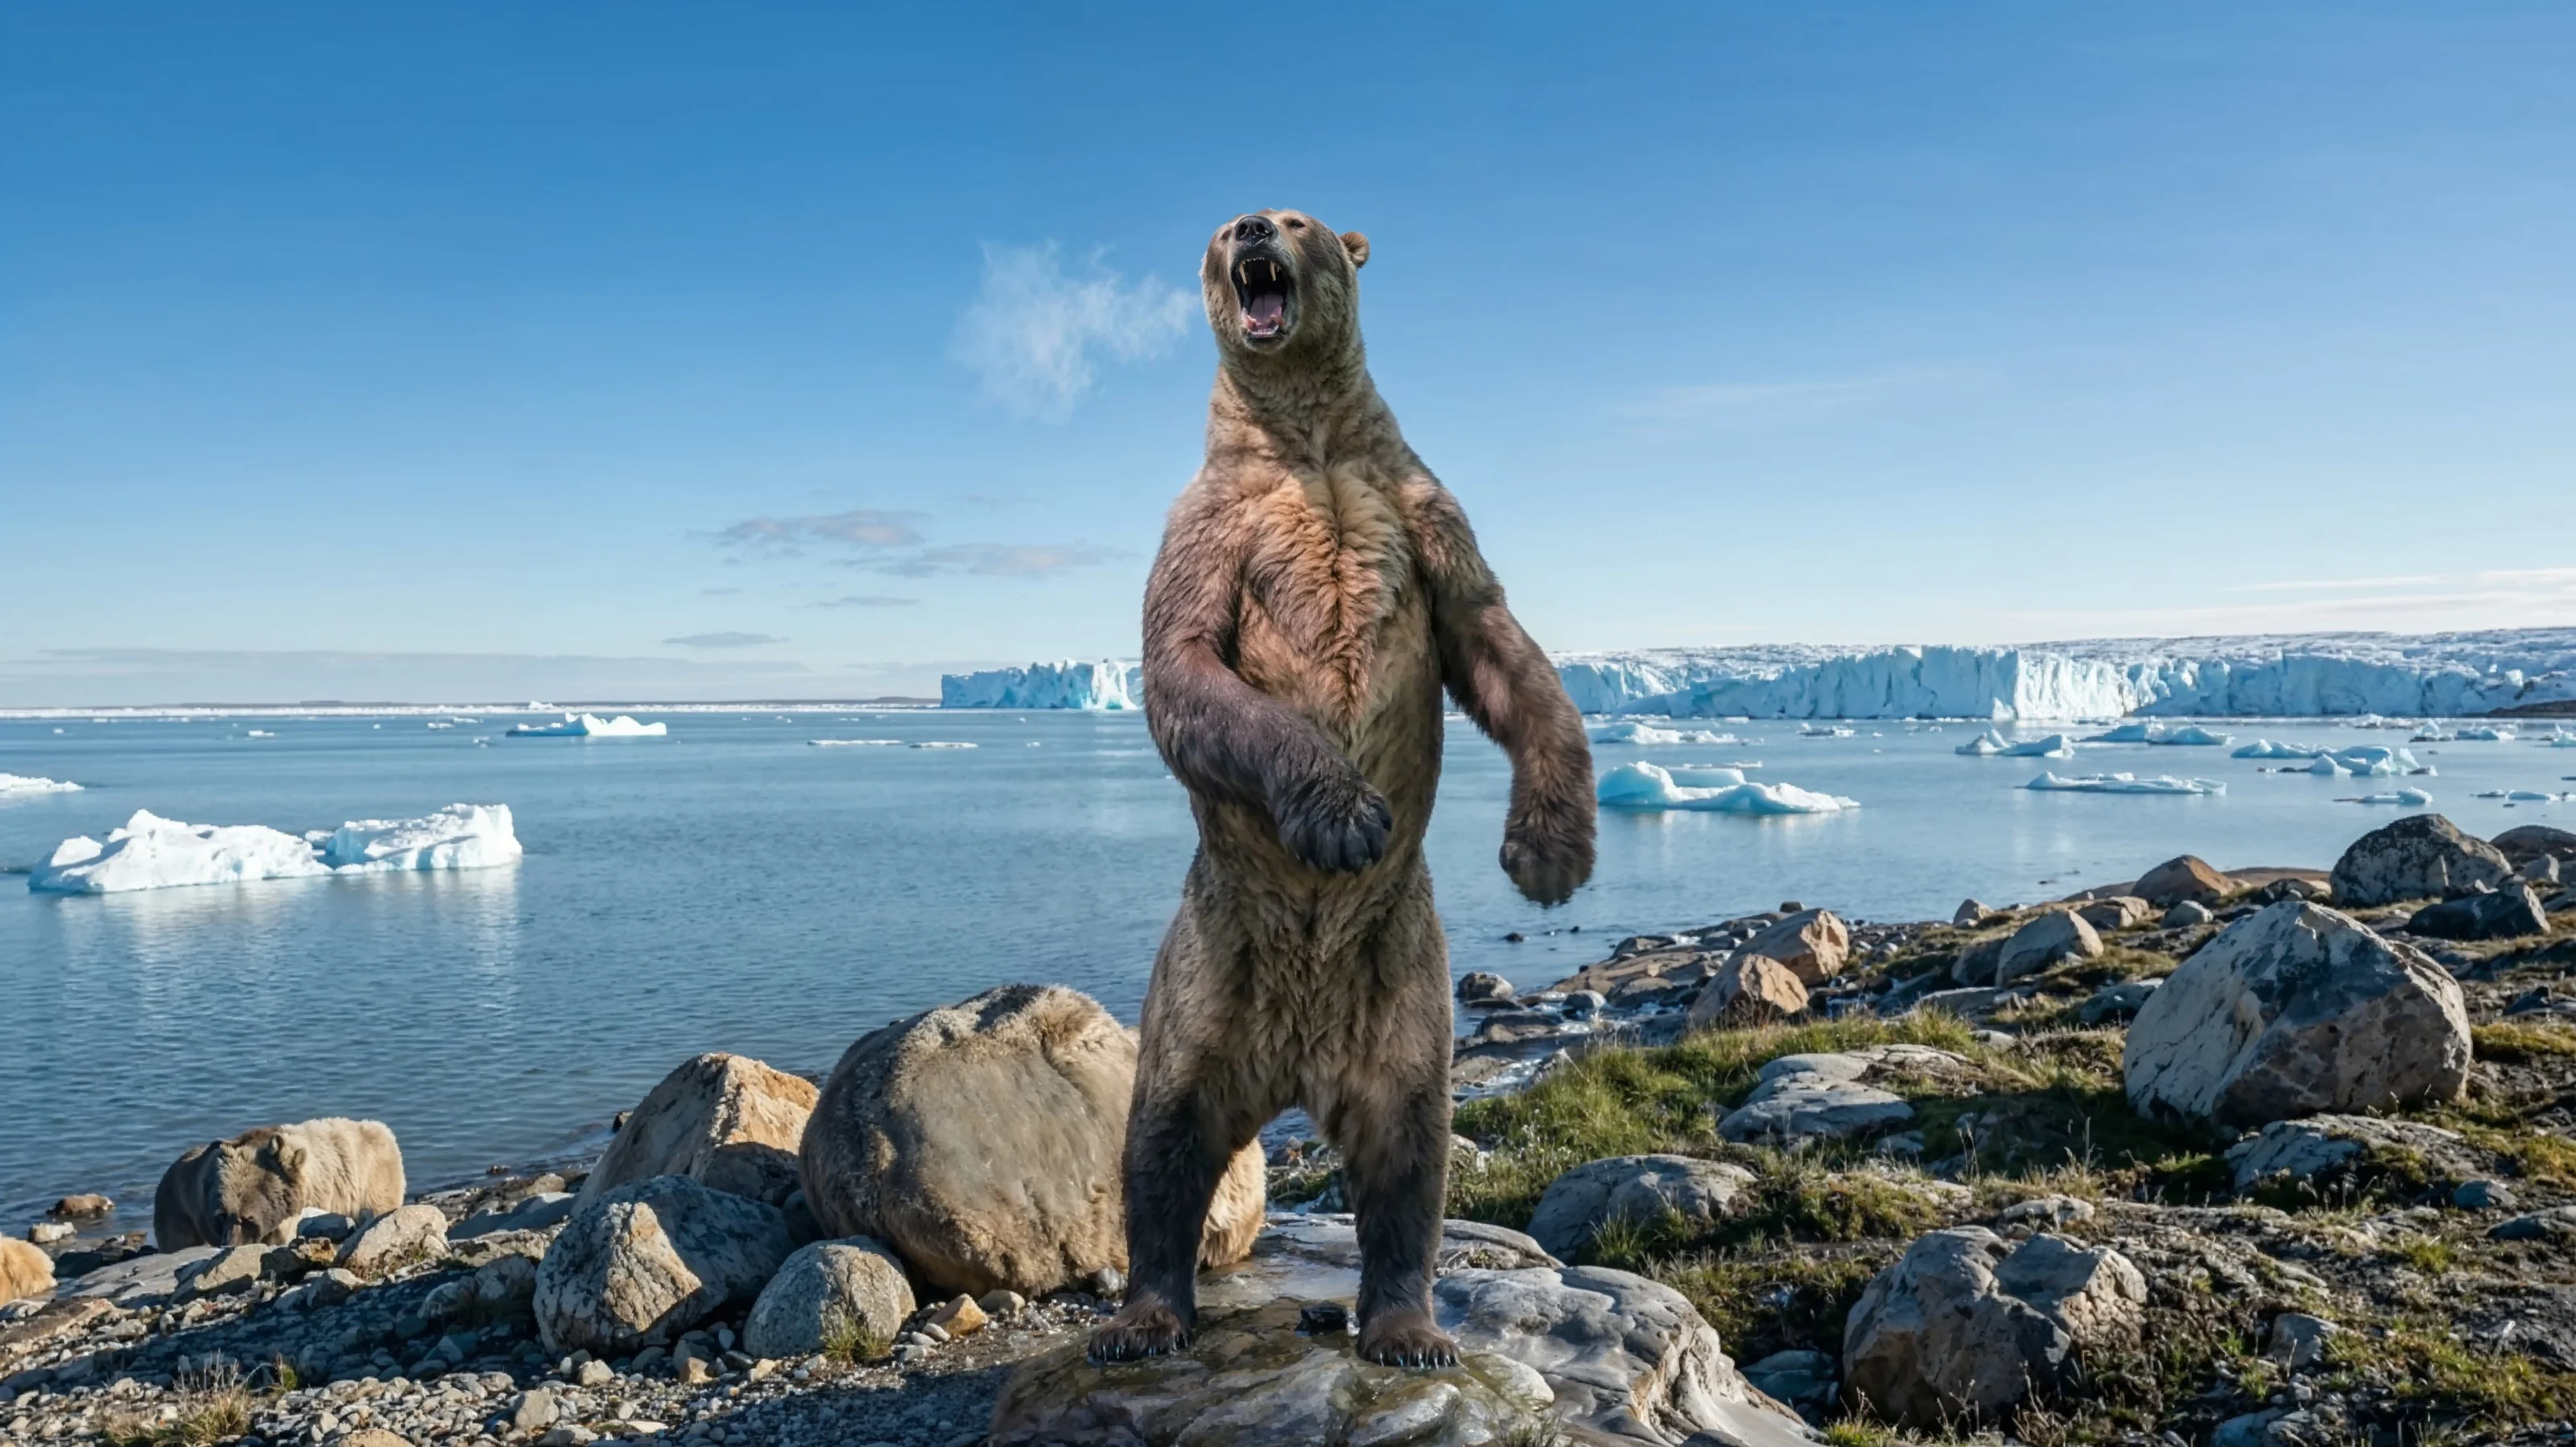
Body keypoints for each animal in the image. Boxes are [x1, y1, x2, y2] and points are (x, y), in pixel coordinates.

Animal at [1090, 209, 1595, 1369]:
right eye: (1226, 225)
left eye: (1300, 220)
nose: (1250, 229)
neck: (1309, 445)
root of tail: (1293, 1065)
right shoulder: (1209, 529)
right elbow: (1186, 666)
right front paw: (1345, 814)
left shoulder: (1420, 513)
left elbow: (1500, 649)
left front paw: (1548, 850)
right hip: (1206, 983)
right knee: (1162, 1142)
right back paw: (1144, 1316)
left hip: (1402, 1001)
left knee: (1409, 1159)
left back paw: (1408, 1326)